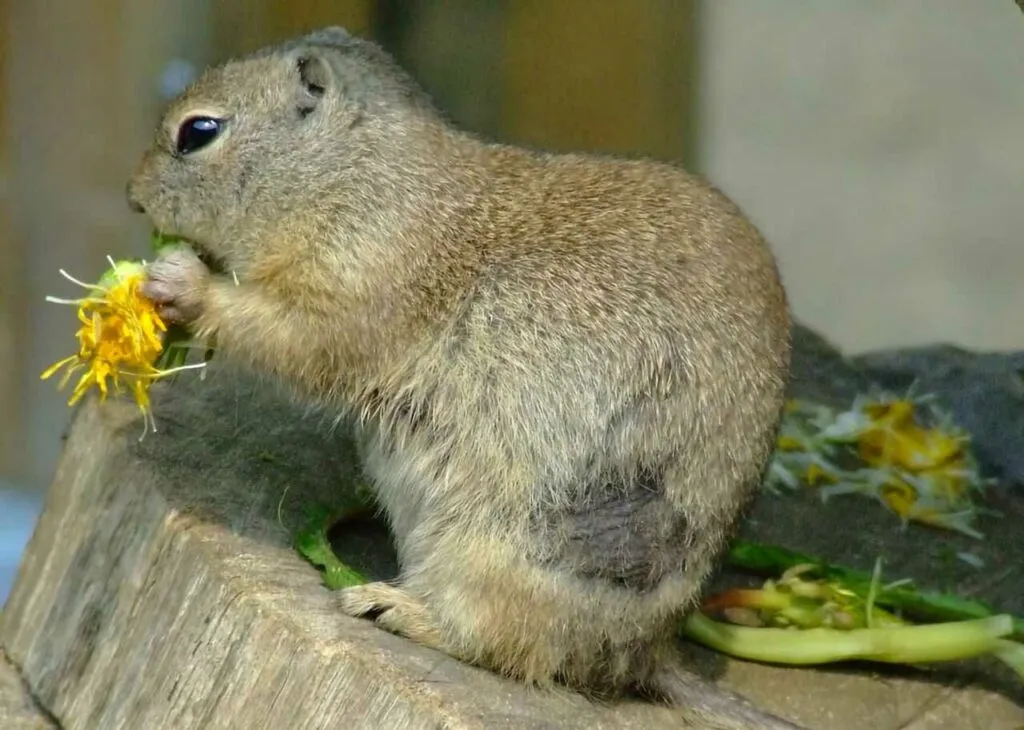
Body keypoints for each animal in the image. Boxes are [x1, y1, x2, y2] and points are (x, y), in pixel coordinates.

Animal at [125, 25, 798, 724]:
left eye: (198, 132)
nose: (133, 195)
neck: (353, 172)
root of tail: (648, 652)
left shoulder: (354, 289)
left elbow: (292, 337)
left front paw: (180, 284)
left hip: (487, 550)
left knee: (504, 645)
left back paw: (394, 607)